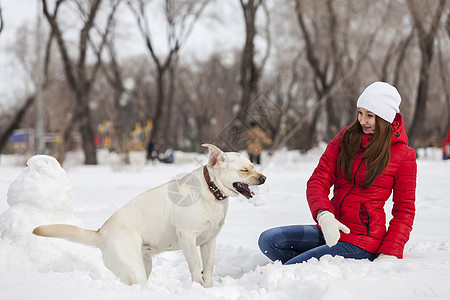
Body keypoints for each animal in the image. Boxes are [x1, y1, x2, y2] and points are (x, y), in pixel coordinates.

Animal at [33, 144, 266, 288]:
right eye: (245, 170)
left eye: (253, 166)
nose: (263, 178)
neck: (211, 191)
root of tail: (101, 232)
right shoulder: (188, 239)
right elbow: (195, 268)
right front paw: (197, 289)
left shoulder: (209, 241)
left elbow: (207, 269)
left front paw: (208, 290)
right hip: (134, 268)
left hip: (144, 265)